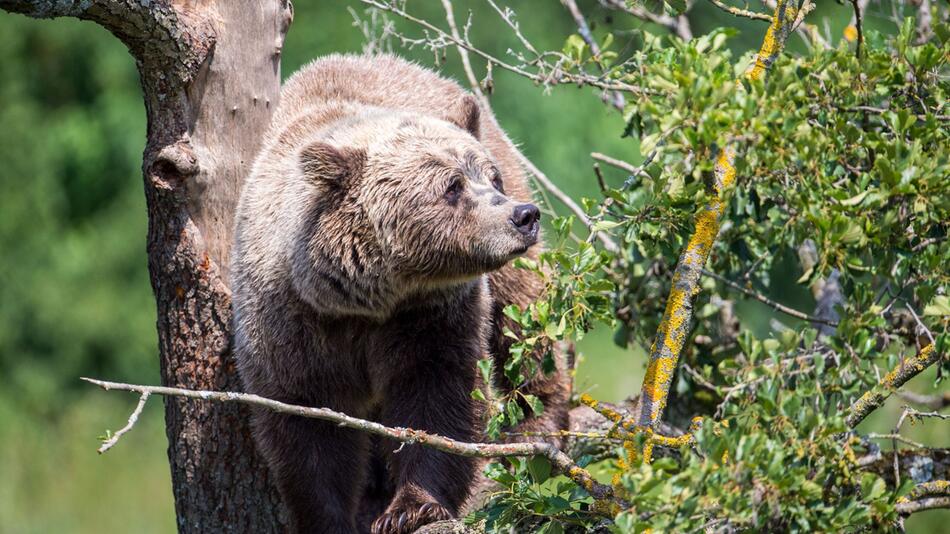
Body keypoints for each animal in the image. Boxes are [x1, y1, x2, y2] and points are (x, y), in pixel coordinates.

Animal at [233, 53, 568, 534]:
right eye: (452, 187)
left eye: (492, 178)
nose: (523, 216)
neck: (367, 299)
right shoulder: (291, 325)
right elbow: (307, 427)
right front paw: (333, 518)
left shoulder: (431, 316)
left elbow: (438, 398)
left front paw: (413, 507)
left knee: (523, 321)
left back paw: (536, 428)